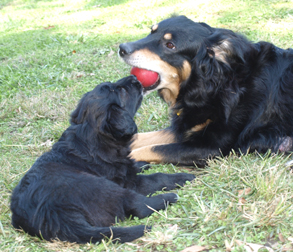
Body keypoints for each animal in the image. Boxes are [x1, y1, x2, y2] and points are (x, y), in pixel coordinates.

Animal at [10, 75, 194, 244]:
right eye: (122, 91)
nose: (134, 77)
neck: (90, 133)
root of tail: (53, 215)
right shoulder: (130, 183)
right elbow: (156, 177)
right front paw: (182, 177)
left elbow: (132, 164)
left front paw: (141, 164)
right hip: (104, 187)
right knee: (137, 206)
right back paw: (169, 197)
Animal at [118, 14, 292, 166]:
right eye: (151, 31)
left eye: (170, 45)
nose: (122, 48)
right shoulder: (185, 127)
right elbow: (138, 138)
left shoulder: (212, 147)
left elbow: (149, 149)